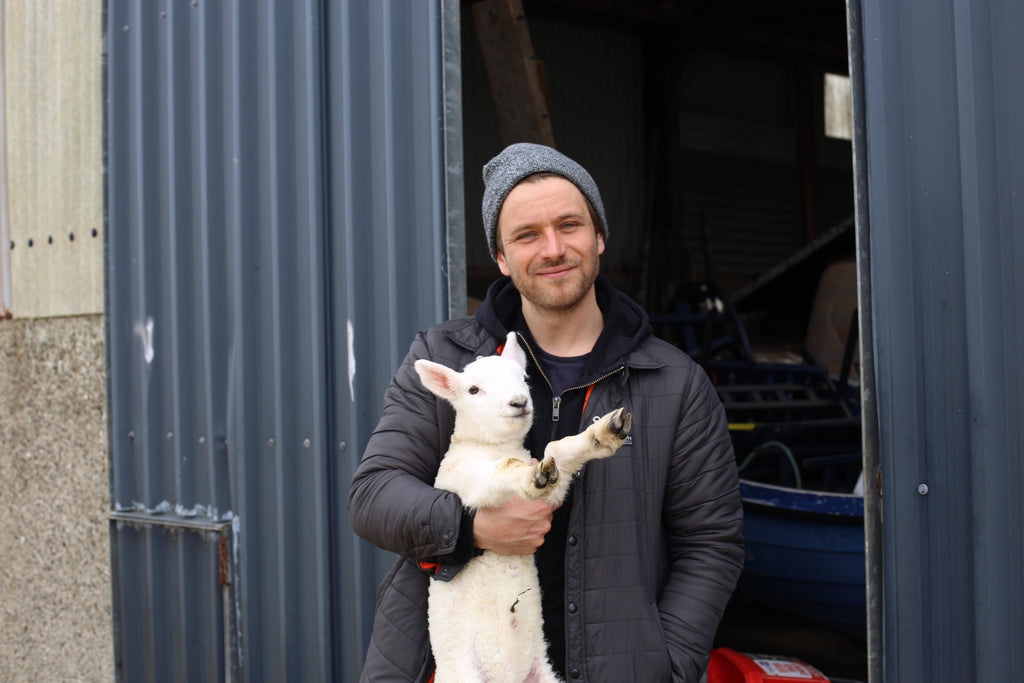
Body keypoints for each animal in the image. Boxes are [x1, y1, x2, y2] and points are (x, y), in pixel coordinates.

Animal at [415, 331, 630, 683]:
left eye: (523, 378)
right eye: (473, 390)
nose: (519, 402)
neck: (488, 446)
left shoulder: (554, 490)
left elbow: (558, 451)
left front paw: (604, 433)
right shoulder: (463, 481)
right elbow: (504, 469)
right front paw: (532, 476)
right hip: (462, 674)